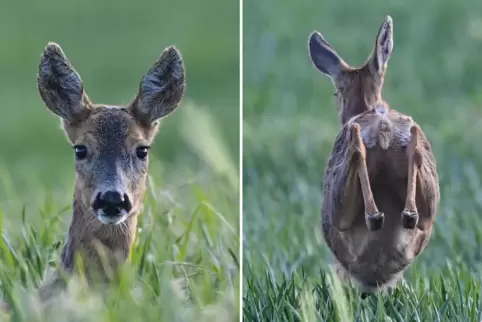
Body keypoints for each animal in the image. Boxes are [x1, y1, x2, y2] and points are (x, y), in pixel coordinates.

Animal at [308, 15, 440, 296]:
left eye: (336, 92)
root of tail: (382, 123)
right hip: (427, 202)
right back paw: (404, 214)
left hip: (337, 204)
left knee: (357, 152)